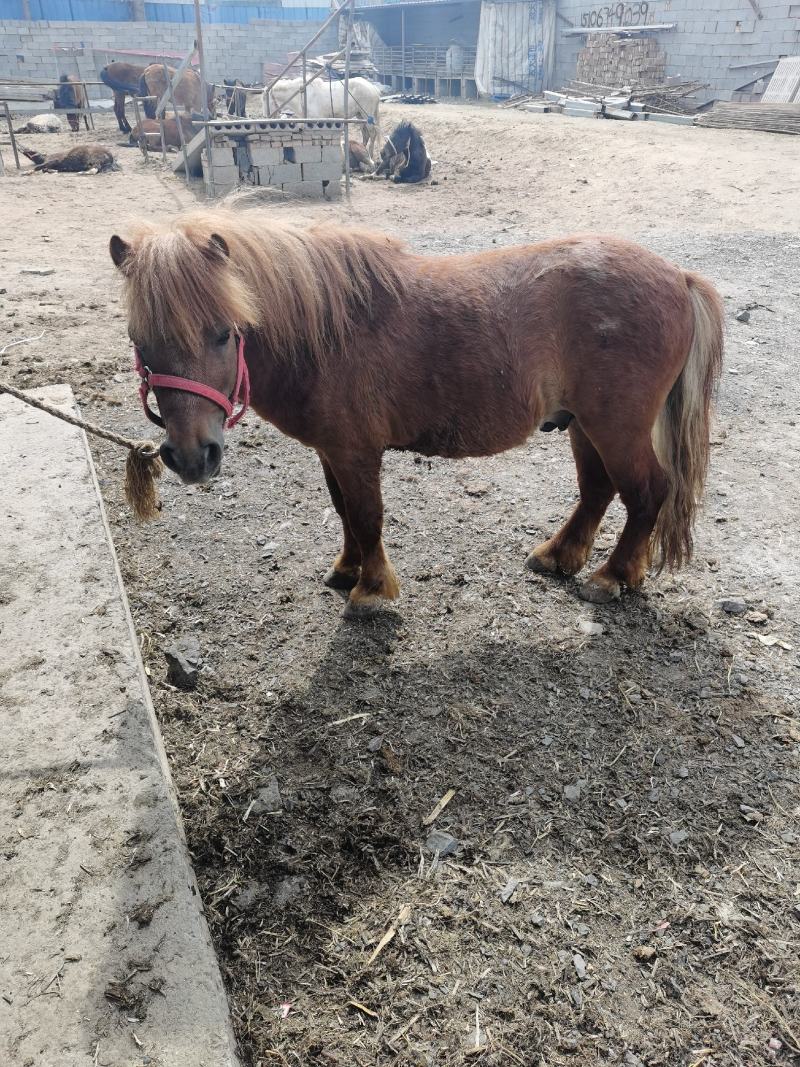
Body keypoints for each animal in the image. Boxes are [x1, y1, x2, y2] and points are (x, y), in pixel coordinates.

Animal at [108, 209, 723, 615]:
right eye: (139, 339)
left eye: (223, 332)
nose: (193, 458)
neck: (324, 333)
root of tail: (678, 276)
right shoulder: (333, 453)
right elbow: (344, 513)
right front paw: (348, 569)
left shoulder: (355, 452)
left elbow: (366, 516)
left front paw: (371, 589)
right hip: (585, 426)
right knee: (597, 490)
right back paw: (560, 555)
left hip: (616, 427)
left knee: (646, 492)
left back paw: (611, 576)